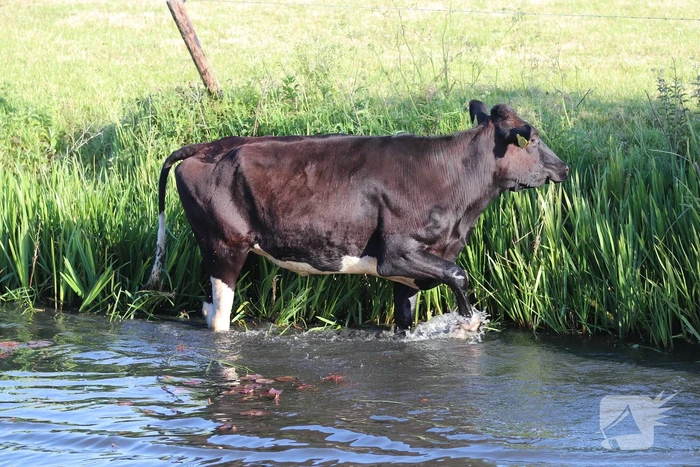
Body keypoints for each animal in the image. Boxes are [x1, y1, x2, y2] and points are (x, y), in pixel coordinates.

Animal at [147, 100, 569, 331]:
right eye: (532, 140)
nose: (563, 167)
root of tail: (206, 145)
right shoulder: (396, 254)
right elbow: (458, 275)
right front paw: (468, 322)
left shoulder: (408, 274)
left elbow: (406, 321)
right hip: (225, 246)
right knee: (219, 318)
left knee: (207, 311)